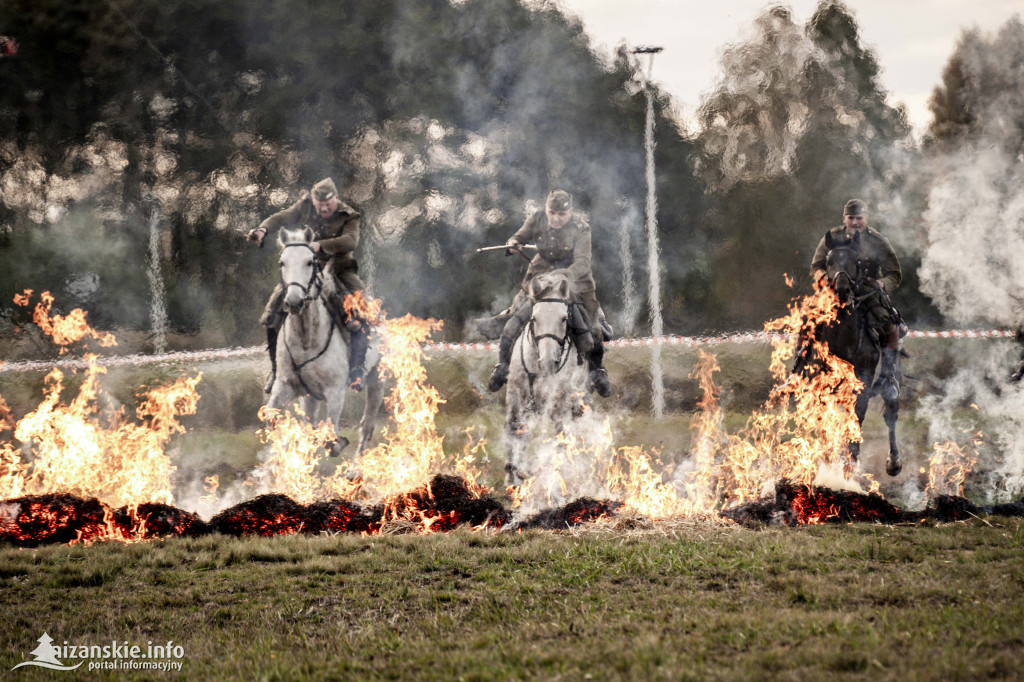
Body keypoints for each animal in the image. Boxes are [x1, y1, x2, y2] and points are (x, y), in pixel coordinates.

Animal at [266, 225, 385, 454]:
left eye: (309, 262)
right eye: (282, 262)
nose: (294, 301)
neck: (306, 340)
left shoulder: (335, 391)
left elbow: (331, 435)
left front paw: (338, 443)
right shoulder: (286, 386)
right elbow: (271, 417)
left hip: (377, 380)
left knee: (367, 426)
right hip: (310, 397)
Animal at [499, 268, 589, 485]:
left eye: (564, 318)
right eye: (534, 318)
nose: (548, 361)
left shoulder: (559, 404)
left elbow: (559, 436)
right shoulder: (516, 396)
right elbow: (513, 429)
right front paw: (512, 476)